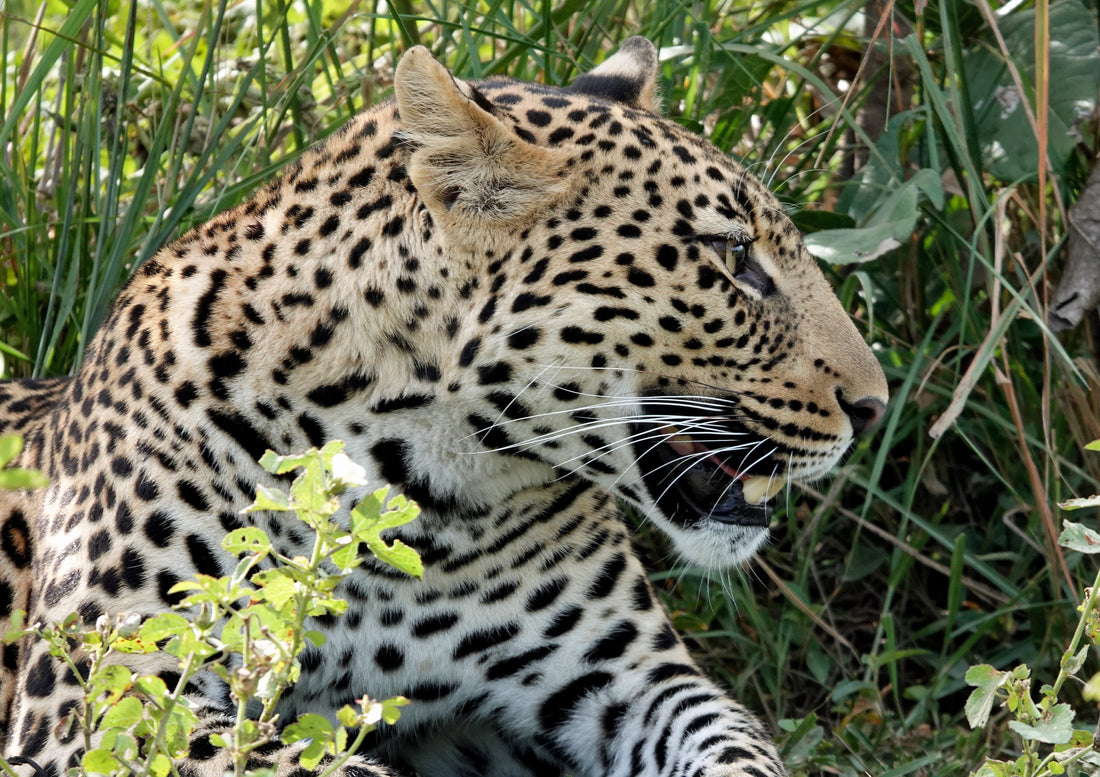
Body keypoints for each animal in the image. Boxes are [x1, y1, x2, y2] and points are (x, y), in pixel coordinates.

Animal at [0, 40, 888, 774]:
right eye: (732, 255)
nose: (874, 407)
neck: (404, 477)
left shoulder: (628, 676)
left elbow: (738, 746)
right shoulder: (114, 680)